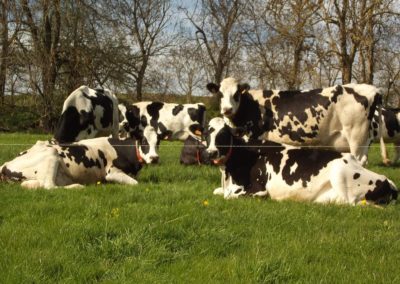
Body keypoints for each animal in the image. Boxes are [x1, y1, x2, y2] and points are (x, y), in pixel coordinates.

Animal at [0, 127, 159, 190]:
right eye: (144, 141)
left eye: (158, 141)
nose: (154, 158)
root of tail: (5, 164)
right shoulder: (112, 172)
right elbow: (136, 183)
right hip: (51, 153)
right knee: (49, 186)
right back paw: (77, 186)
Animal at [205, 116, 398, 205]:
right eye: (207, 134)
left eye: (223, 135)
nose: (210, 153)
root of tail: (387, 180)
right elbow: (216, 191)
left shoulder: (258, 190)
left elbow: (229, 196)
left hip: (339, 172)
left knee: (348, 202)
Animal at [206, 76, 382, 165]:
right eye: (220, 94)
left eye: (236, 94)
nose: (227, 109)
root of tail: (372, 89)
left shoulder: (255, 137)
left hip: (356, 136)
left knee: (360, 160)